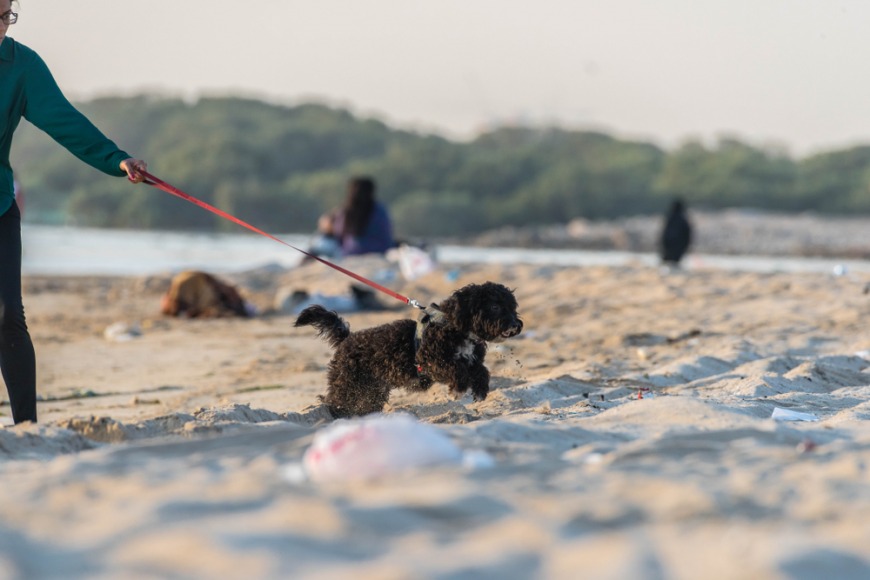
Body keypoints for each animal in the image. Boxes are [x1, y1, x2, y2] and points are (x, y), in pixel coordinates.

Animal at [292, 280, 524, 416]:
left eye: (513, 307)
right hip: (348, 382)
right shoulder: (432, 361)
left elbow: (482, 371)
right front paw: (458, 389)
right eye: (495, 306)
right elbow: (457, 369)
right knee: (335, 400)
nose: (515, 325)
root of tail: (346, 339)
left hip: (372, 388)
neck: (456, 328)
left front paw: (480, 390)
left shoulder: (472, 360)